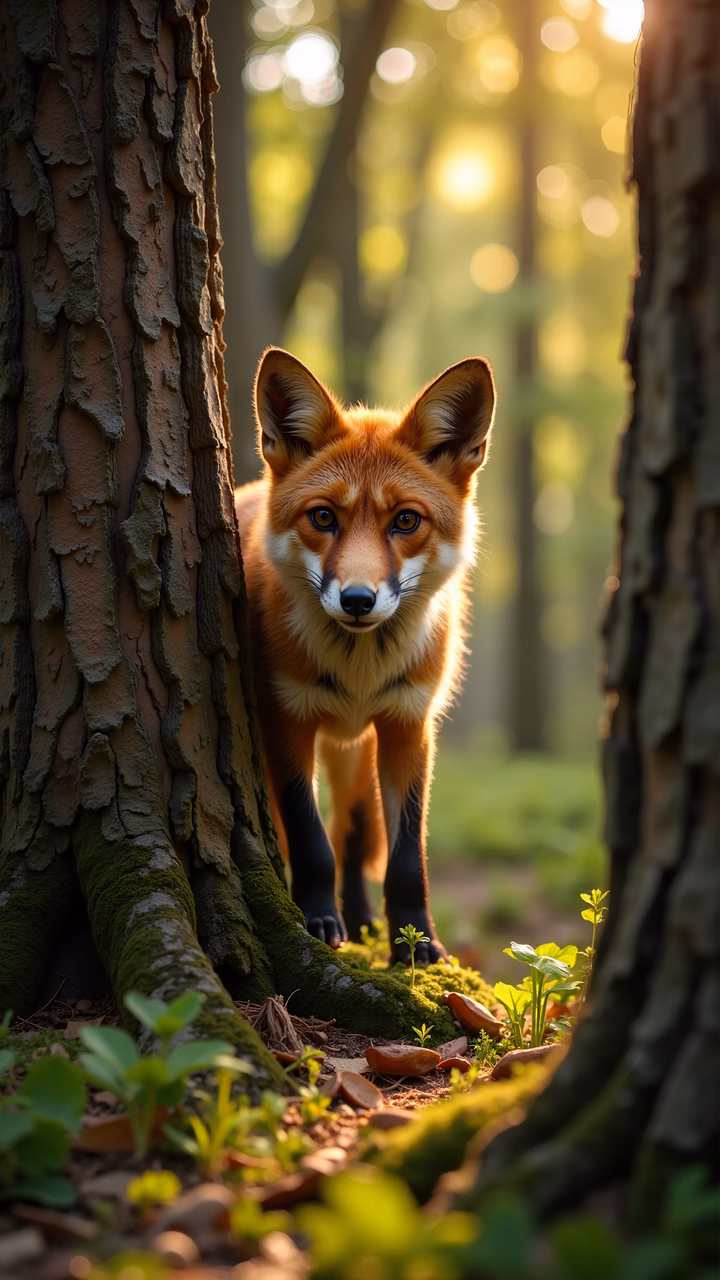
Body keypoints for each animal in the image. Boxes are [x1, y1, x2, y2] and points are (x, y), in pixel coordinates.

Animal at [235, 347, 496, 965]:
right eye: (323, 517)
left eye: (405, 520)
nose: (357, 599)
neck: (359, 670)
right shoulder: (287, 719)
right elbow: (310, 841)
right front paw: (315, 921)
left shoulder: (407, 725)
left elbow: (404, 858)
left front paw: (417, 942)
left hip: (357, 751)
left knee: (353, 835)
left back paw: (360, 918)